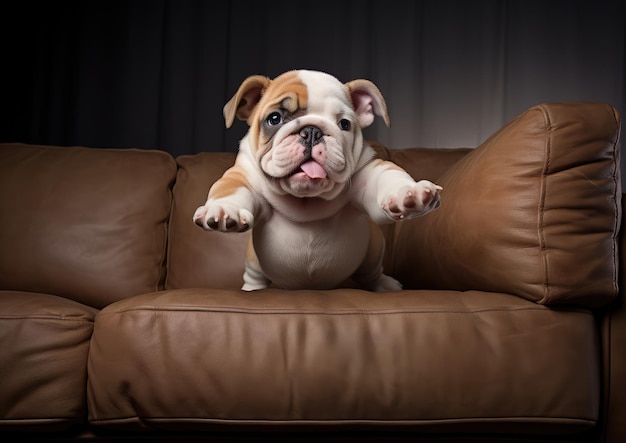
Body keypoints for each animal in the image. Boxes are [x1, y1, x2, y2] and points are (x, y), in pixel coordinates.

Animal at [193, 70, 442, 292]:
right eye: (274, 119)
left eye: (344, 124)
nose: (312, 131)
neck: (306, 199)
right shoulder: (244, 176)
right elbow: (230, 190)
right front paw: (224, 210)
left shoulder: (367, 173)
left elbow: (388, 175)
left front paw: (409, 193)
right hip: (253, 259)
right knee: (254, 275)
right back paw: (252, 289)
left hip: (373, 247)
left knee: (371, 273)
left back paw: (385, 285)